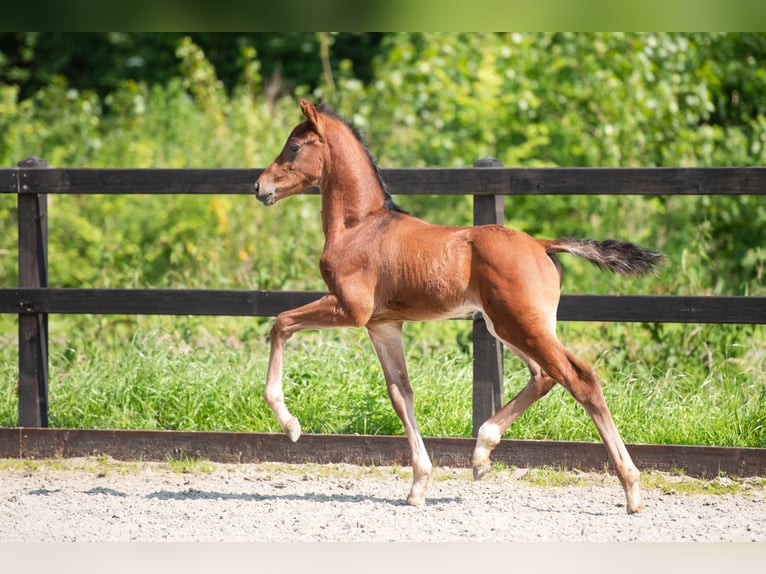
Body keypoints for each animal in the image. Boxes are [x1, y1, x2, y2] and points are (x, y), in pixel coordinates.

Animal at [255, 100, 664, 516]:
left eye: (293, 146)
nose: (259, 186)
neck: (360, 226)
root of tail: (541, 244)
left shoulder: (349, 309)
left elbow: (280, 323)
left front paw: (289, 424)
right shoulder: (382, 325)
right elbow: (400, 392)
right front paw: (419, 484)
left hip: (520, 324)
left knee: (579, 377)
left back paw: (631, 489)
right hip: (507, 326)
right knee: (543, 375)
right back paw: (482, 452)